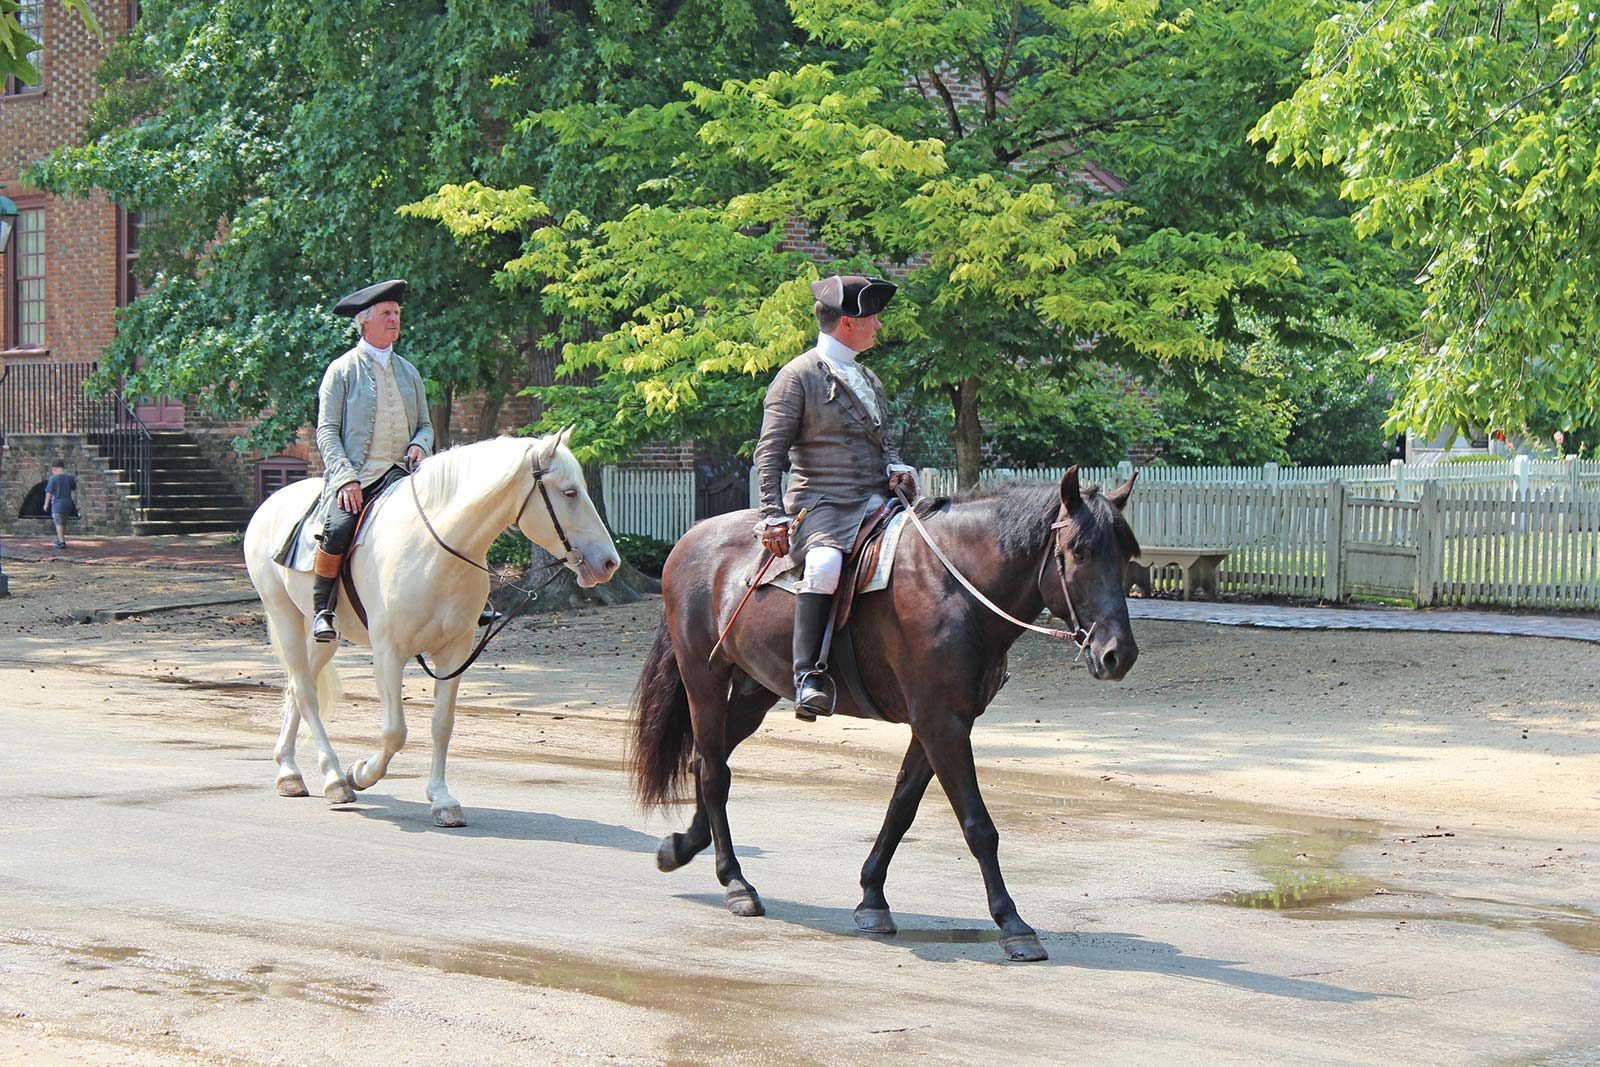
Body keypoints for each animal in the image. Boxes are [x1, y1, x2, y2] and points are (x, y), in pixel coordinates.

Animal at [241, 431, 617, 825]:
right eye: (570, 492)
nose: (609, 562)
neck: (436, 551)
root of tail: (272, 502)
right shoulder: (389, 653)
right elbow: (395, 731)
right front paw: (360, 773)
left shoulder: (455, 652)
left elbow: (441, 725)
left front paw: (442, 800)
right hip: (283, 615)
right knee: (305, 692)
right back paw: (332, 777)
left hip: (326, 637)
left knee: (297, 689)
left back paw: (290, 770)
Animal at [630, 467, 1145, 959]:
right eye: (1079, 551)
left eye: (1125, 555)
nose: (1118, 654)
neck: (955, 585)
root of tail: (692, 538)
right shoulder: (941, 723)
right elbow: (978, 825)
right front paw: (1012, 923)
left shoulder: (939, 722)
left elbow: (901, 808)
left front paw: (872, 897)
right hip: (704, 678)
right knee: (714, 772)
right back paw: (735, 882)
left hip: (756, 691)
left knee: (706, 761)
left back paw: (682, 847)